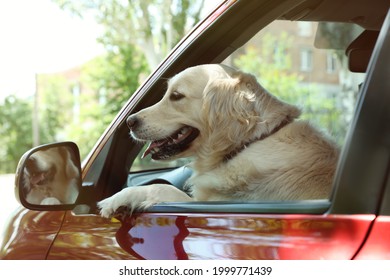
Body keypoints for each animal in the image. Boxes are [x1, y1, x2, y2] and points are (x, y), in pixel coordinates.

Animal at [96, 64, 338, 218]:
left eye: (176, 96)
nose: (129, 121)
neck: (250, 141)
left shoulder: (208, 202)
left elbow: (161, 188)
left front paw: (115, 198)